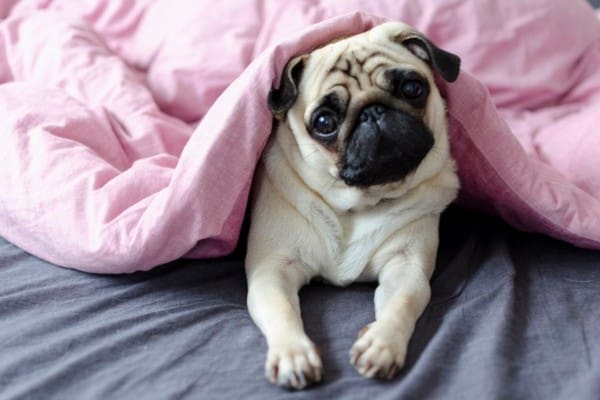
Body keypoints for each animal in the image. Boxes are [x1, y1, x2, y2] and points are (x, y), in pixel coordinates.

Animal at [246, 21, 462, 390]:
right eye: (324, 123)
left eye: (412, 88)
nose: (372, 111)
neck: (357, 203)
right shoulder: (271, 269)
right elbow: (281, 308)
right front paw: (293, 354)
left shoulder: (406, 267)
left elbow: (403, 302)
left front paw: (382, 344)